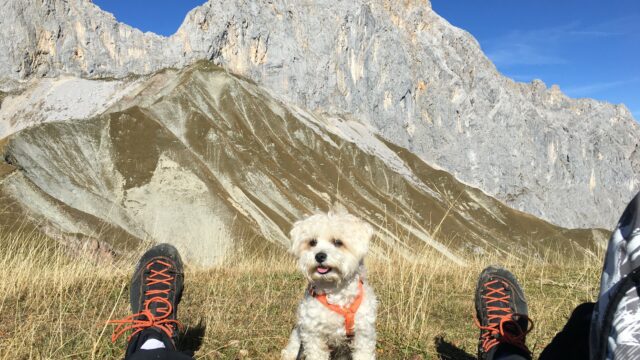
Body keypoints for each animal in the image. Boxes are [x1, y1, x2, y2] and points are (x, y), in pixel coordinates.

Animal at [282, 205, 378, 360]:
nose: (319, 255)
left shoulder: (363, 333)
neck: (335, 291)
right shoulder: (312, 332)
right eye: (312, 242)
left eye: (338, 242)